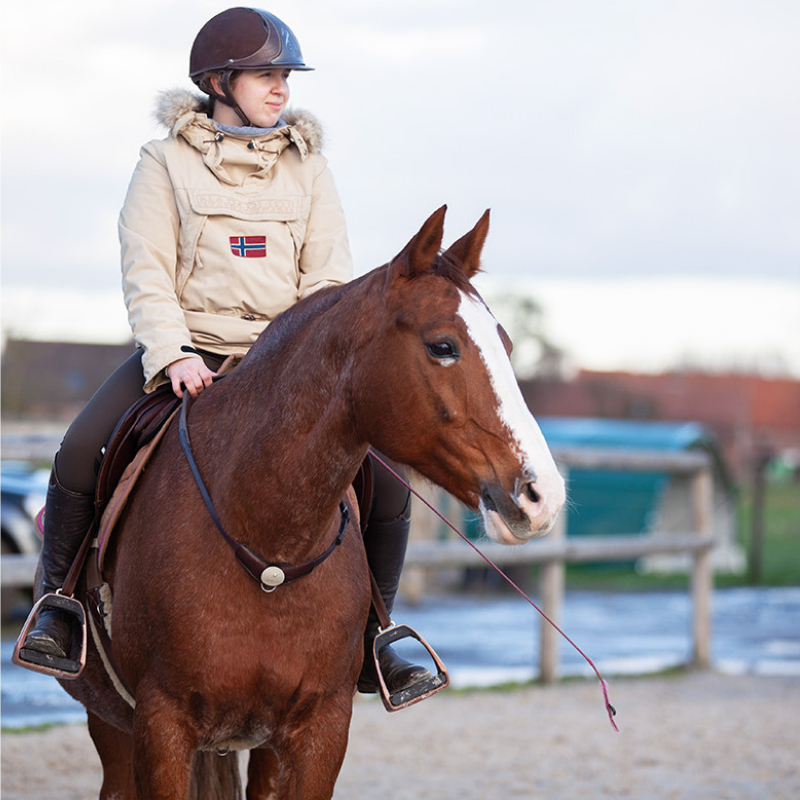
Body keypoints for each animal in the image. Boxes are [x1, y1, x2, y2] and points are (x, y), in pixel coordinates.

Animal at [52, 206, 566, 799]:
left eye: (506, 344)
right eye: (442, 346)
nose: (541, 494)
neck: (268, 544)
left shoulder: (319, 732)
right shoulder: (160, 728)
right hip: (111, 728)